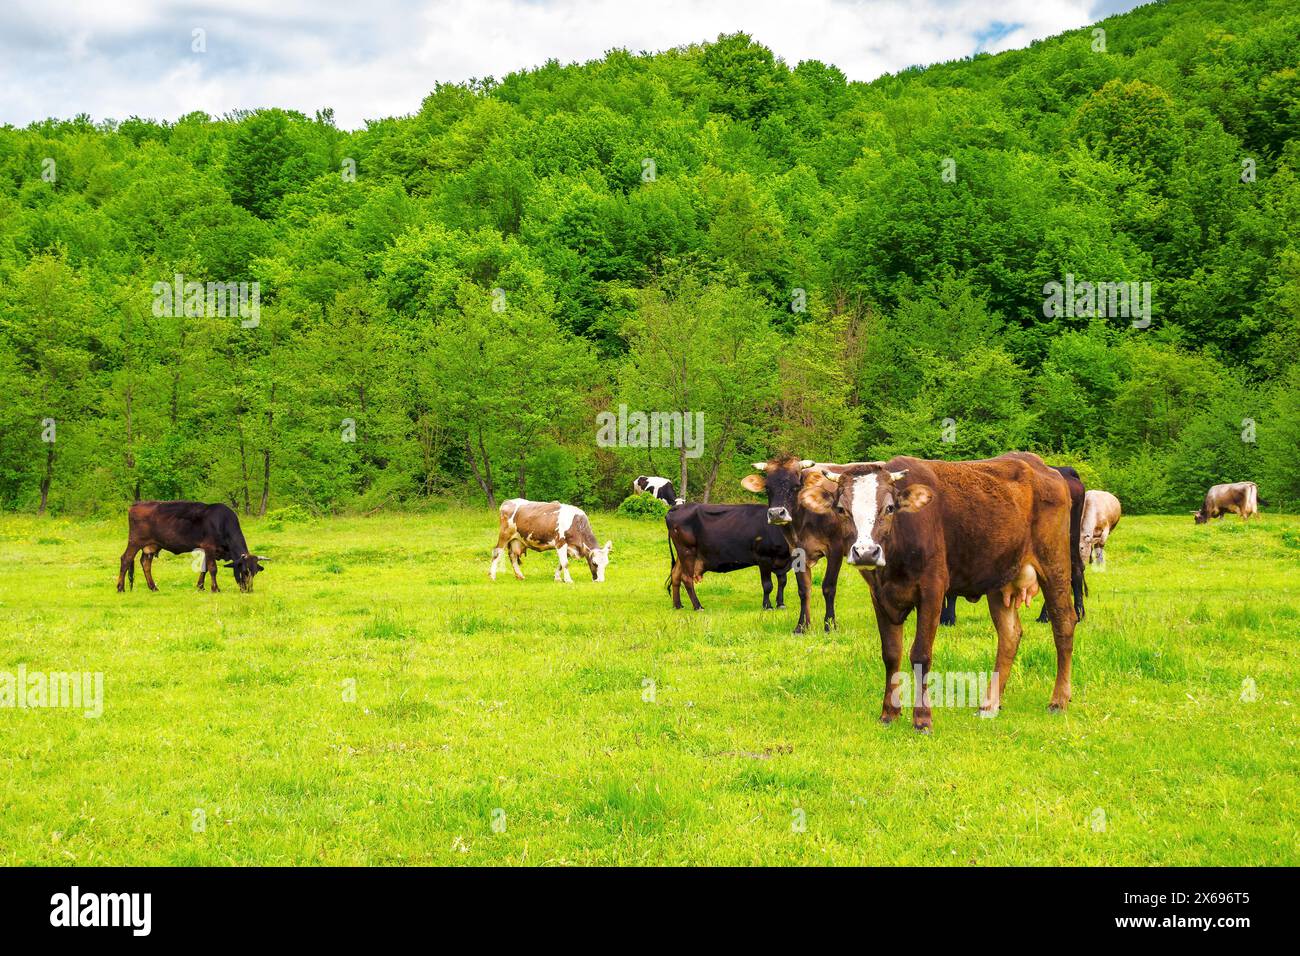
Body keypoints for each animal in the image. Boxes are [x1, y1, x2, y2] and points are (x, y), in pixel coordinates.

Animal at [117, 500, 267, 593]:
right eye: (244, 571)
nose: (249, 590)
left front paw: (201, 586)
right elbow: (212, 569)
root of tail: (136, 505)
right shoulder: (209, 547)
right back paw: (120, 588)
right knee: (126, 559)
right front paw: (215, 589)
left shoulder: (208, 550)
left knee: (146, 563)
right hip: (135, 541)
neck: (222, 522)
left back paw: (153, 587)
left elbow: (204, 568)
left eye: (255, 572)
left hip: (151, 546)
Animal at [821, 453, 1080, 732]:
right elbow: (891, 654)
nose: (866, 552)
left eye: (889, 508)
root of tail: (1042, 466)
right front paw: (889, 713)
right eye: (841, 509)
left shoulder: (932, 590)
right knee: (1010, 634)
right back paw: (989, 705)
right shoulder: (879, 596)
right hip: (999, 577)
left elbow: (920, 654)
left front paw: (922, 718)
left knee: (1064, 623)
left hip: (1054, 563)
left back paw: (1059, 699)